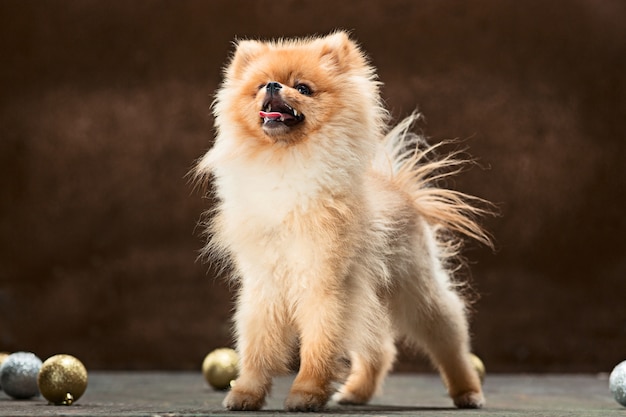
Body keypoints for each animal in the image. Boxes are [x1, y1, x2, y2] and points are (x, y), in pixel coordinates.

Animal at [195, 31, 492, 410]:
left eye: (303, 88)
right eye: (261, 85)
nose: (274, 85)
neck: (285, 162)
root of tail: (400, 188)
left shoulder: (324, 282)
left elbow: (319, 343)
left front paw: (306, 393)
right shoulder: (264, 284)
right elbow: (257, 346)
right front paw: (246, 393)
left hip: (415, 288)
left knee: (448, 335)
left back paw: (468, 391)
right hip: (370, 294)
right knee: (381, 348)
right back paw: (355, 392)